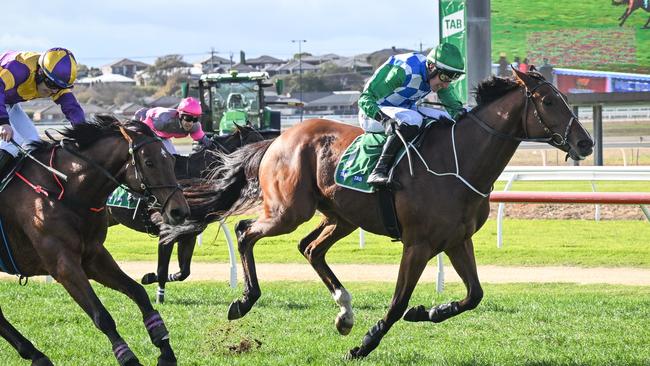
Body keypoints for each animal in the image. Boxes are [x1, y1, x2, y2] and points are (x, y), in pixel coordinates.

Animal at [0, 116, 187, 366]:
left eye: (171, 160)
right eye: (149, 163)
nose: (179, 211)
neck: (64, 190)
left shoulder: (94, 256)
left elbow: (138, 292)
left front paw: (165, 350)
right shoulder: (63, 265)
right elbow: (102, 316)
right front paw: (128, 358)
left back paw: (36, 355)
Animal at [107, 124, 274, 302]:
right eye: (256, 142)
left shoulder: (189, 235)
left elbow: (184, 272)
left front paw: (148, 277)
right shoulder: (166, 232)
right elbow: (162, 270)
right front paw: (159, 297)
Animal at [204, 68, 592, 358]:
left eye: (565, 99)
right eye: (548, 101)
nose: (585, 142)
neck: (458, 162)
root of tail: (278, 138)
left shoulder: (457, 241)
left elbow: (474, 295)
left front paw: (427, 311)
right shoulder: (417, 244)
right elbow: (397, 301)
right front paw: (365, 345)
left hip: (341, 217)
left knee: (310, 248)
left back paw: (344, 312)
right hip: (288, 210)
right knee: (245, 232)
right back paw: (244, 301)